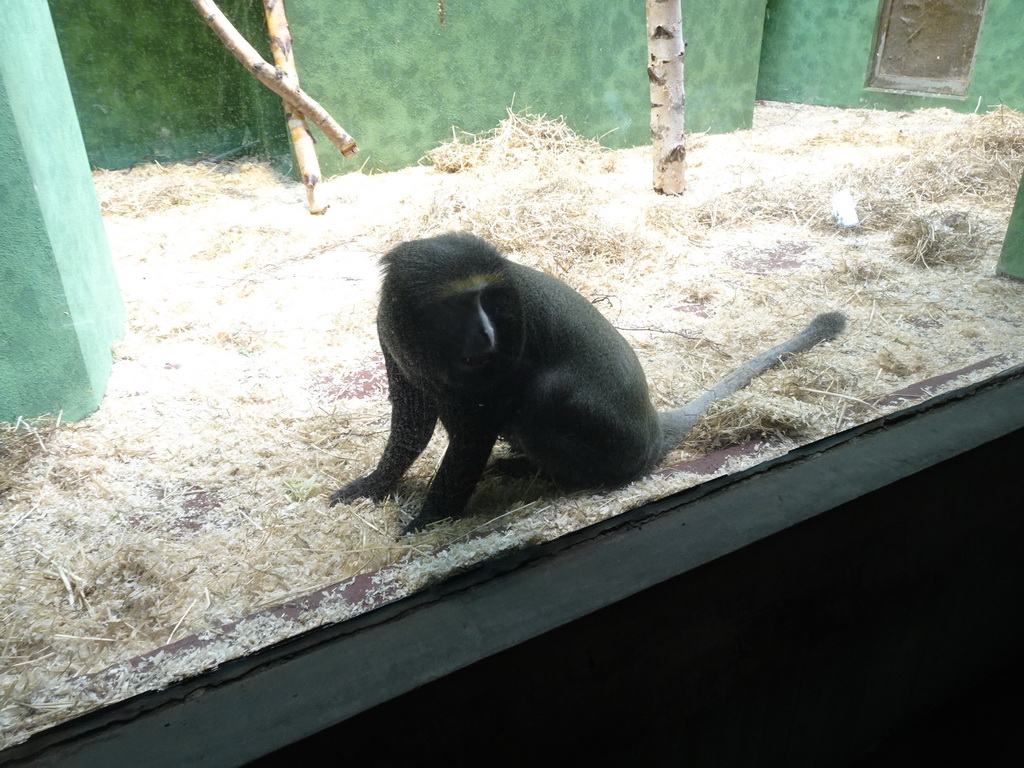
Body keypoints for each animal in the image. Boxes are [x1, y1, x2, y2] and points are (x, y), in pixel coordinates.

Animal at [329, 233, 847, 536]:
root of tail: (653, 429)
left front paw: (428, 520)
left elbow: (470, 441)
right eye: (460, 306)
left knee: (543, 396)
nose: (488, 335)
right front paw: (373, 485)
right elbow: (411, 426)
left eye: (489, 301)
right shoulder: (392, 335)